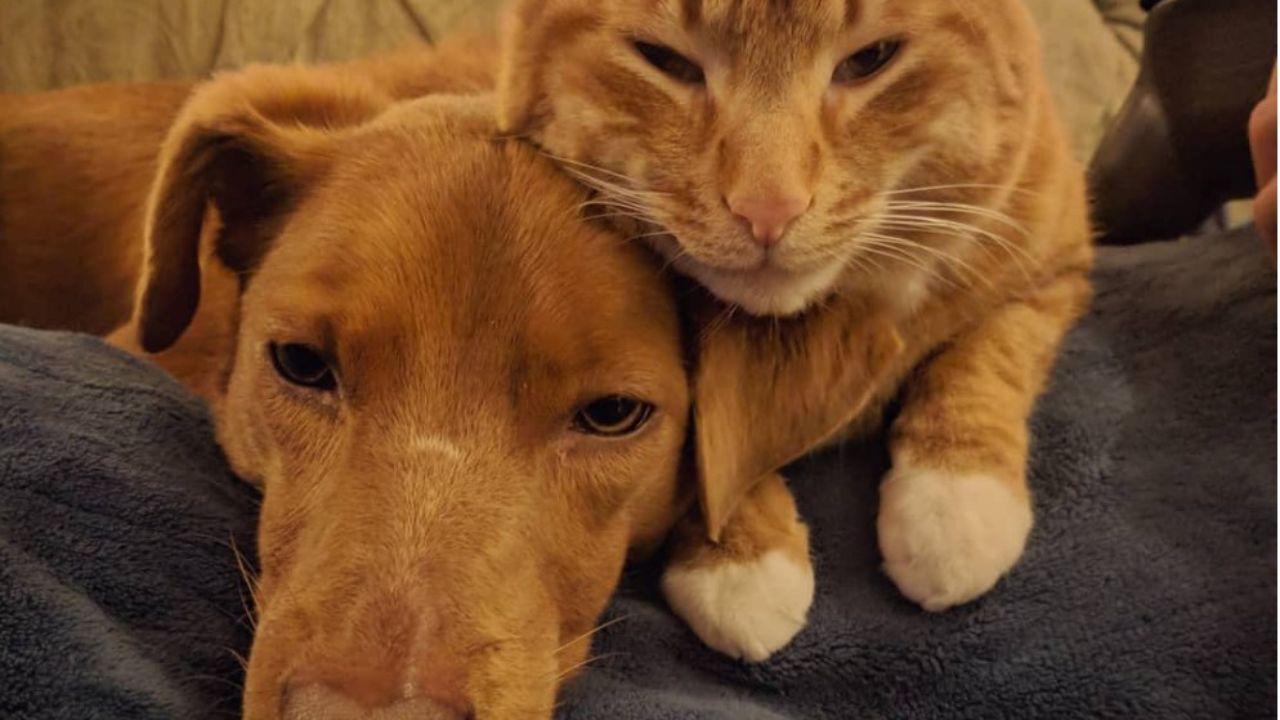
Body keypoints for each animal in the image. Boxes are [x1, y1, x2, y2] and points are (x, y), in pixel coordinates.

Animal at [494, 0, 1095, 661]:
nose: (768, 209)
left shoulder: (1056, 261)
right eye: (665, 60)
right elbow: (718, 438)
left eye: (871, 58)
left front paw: (955, 501)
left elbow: (990, 352)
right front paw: (740, 559)